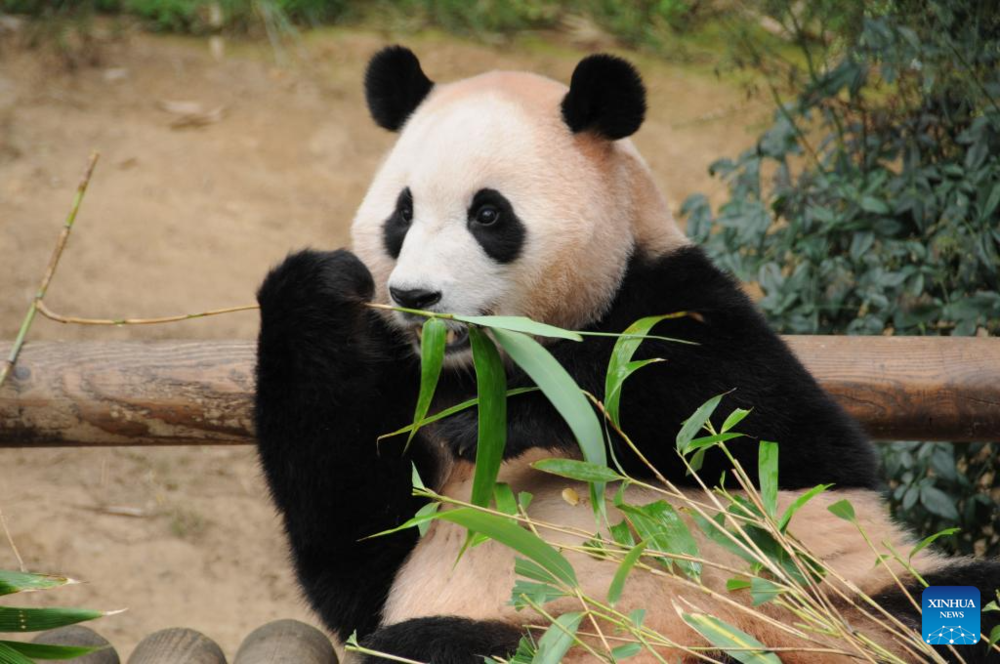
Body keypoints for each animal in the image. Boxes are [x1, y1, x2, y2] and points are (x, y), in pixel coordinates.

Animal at [252, 48, 1000, 664]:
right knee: (430, 647)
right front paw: (317, 289)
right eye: (401, 215)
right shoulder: (407, 388)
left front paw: (521, 415)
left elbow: (764, 428)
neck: (486, 363)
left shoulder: (679, 297)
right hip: (535, 629)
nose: (415, 296)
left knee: (963, 594)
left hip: (857, 593)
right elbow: (356, 548)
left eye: (488, 214)